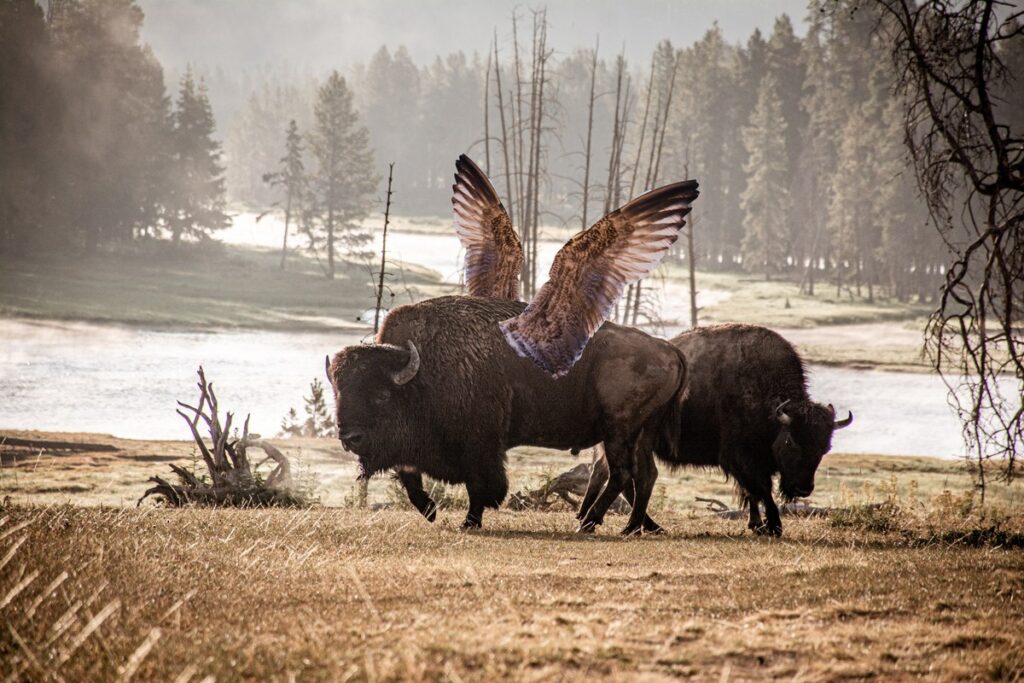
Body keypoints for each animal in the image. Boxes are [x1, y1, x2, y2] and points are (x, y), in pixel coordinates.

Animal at [580, 323, 852, 537]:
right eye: (790, 442)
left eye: (825, 447)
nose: (803, 489)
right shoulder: (740, 457)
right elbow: (760, 489)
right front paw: (773, 526)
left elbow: (752, 492)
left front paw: (757, 524)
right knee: (623, 477)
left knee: (608, 473)